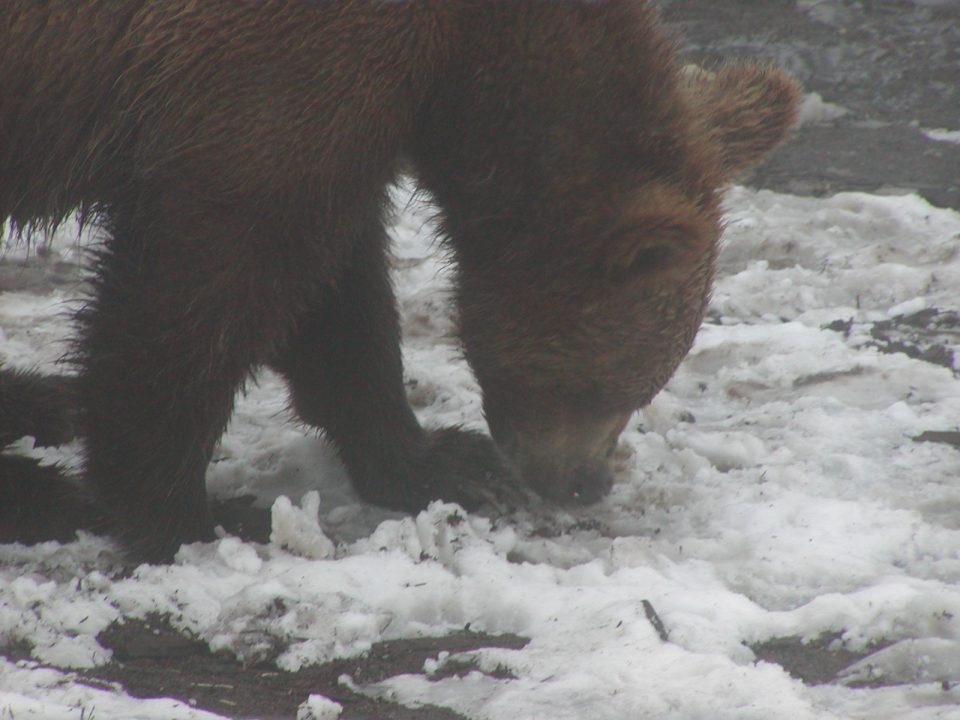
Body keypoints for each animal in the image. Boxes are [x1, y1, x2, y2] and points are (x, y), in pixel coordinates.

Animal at [0, 0, 804, 564]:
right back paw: (38, 486)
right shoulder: (273, 65)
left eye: (644, 387)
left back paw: (35, 402)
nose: (584, 481)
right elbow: (206, 271)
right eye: (604, 389)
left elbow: (339, 294)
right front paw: (190, 512)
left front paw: (442, 463)